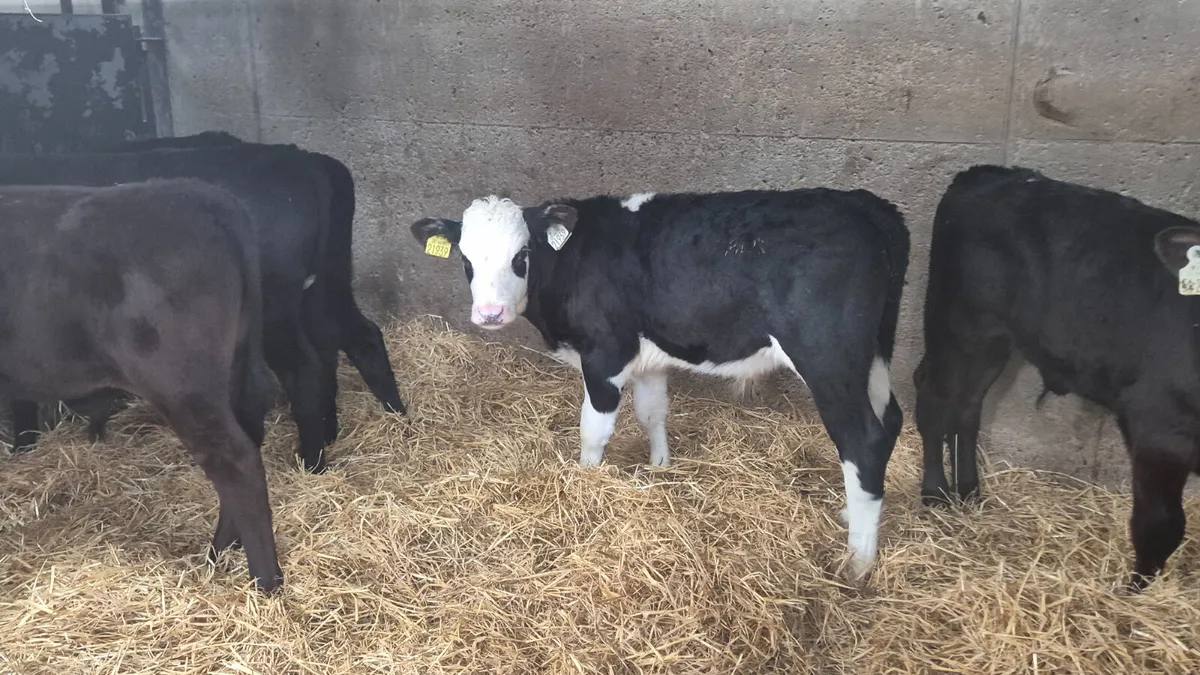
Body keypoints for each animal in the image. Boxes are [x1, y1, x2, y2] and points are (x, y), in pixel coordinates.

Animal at [0, 137, 406, 472]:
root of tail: (297, 161)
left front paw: (23, 447)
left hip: (275, 308)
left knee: (304, 367)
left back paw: (312, 462)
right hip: (324, 286)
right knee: (352, 338)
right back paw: (387, 420)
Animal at [410, 188, 910, 580]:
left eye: (521, 256)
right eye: (466, 260)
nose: (490, 314)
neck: (574, 259)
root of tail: (864, 203)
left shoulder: (604, 357)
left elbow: (593, 432)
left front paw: (586, 485)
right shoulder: (646, 359)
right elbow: (652, 413)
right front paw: (659, 469)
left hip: (828, 358)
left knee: (862, 440)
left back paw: (858, 561)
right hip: (873, 355)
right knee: (890, 422)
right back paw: (851, 514)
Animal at [913, 164, 1200, 591]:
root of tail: (991, 173)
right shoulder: (1159, 428)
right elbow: (1160, 525)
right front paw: (1133, 593)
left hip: (994, 341)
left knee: (967, 408)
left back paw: (969, 491)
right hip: (960, 323)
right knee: (934, 399)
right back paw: (935, 494)